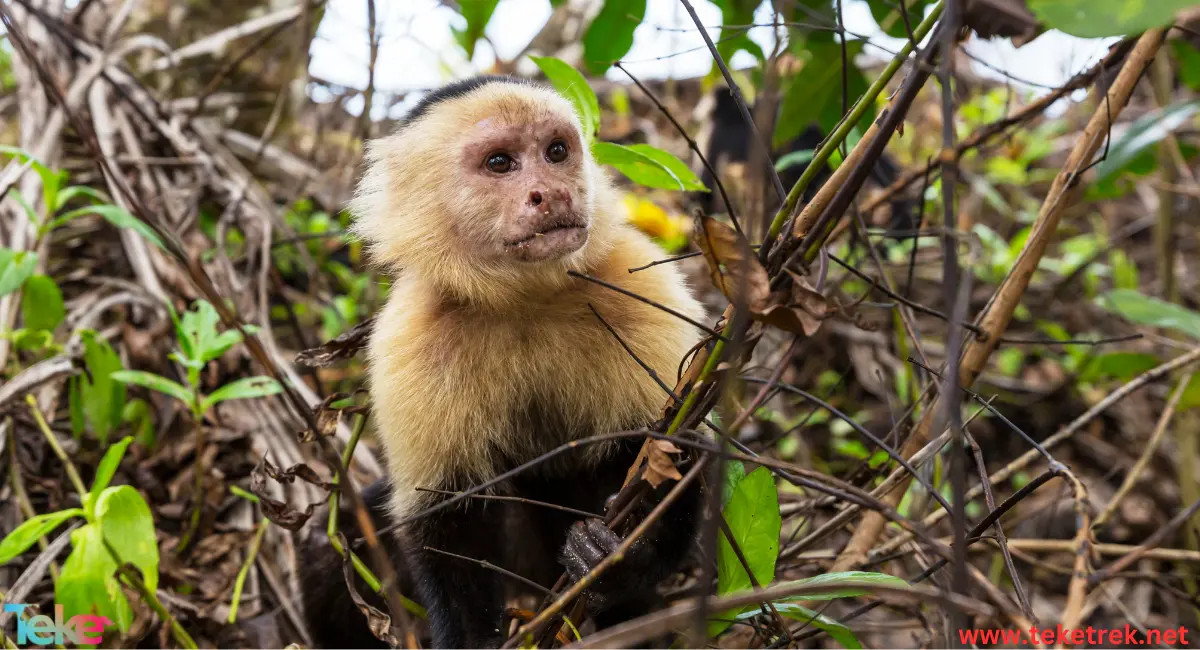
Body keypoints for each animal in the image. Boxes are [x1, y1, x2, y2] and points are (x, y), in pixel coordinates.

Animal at [300, 77, 705, 650]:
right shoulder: (411, 337)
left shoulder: (639, 286)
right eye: (499, 163)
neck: (523, 299)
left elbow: (670, 449)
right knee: (329, 543)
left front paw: (619, 560)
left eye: (556, 152)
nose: (551, 192)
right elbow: (447, 517)